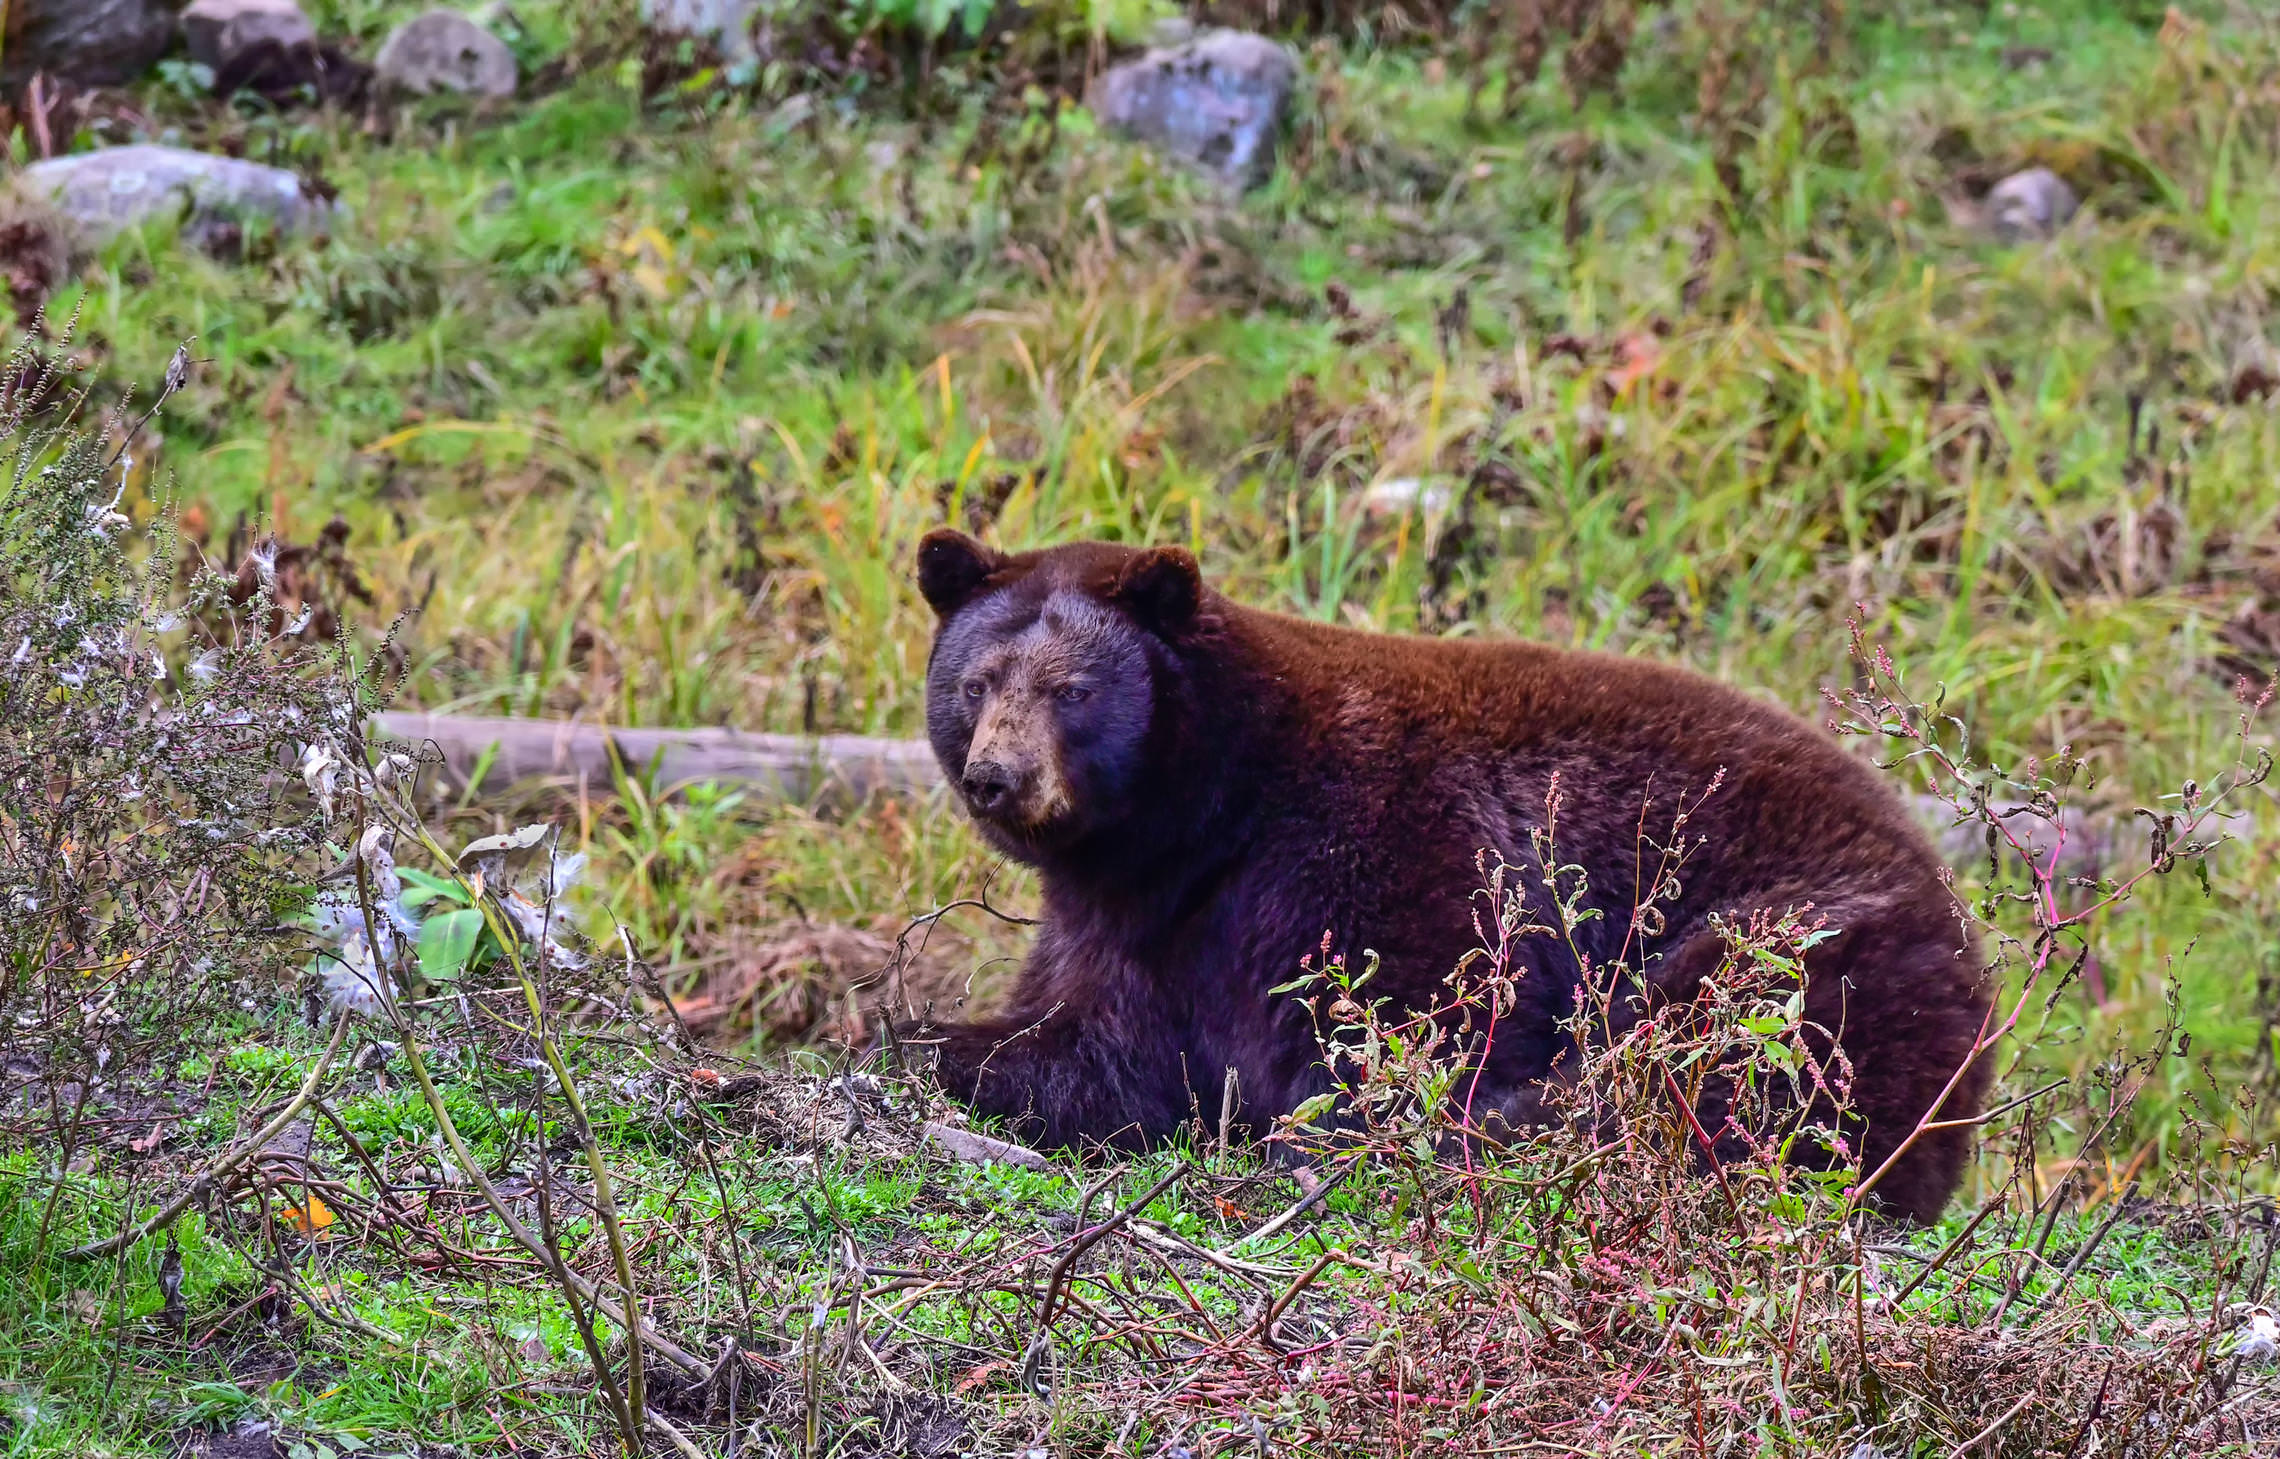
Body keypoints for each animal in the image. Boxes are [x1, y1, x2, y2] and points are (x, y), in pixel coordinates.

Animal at [907, 528, 1997, 1212]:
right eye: (977, 682)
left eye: (1073, 689)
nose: (998, 777)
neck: (1206, 815)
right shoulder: (1135, 922)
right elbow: (1097, 1045)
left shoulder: (1365, 847)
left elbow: (1411, 1019)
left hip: (1812, 933)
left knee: (1720, 1047)